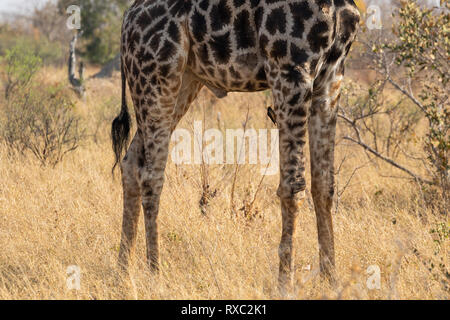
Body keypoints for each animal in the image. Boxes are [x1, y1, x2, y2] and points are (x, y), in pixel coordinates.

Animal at [113, 0, 362, 292]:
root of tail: (126, 20)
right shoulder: (290, 71)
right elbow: (293, 186)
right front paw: (284, 284)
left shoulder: (331, 77)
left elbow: (324, 185)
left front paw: (332, 280)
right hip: (156, 77)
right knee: (150, 173)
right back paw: (155, 273)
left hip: (184, 80)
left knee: (131, 162)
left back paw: (123, 273)